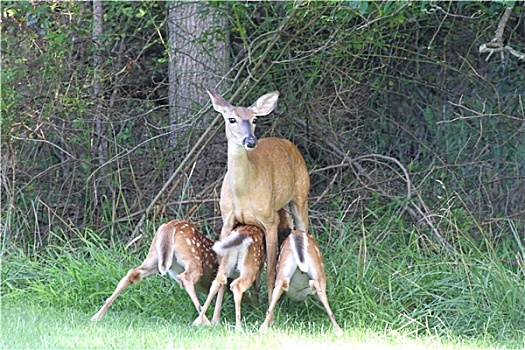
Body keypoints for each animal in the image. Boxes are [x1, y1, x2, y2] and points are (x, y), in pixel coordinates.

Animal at [207, 87, 310, 300]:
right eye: (231, 119)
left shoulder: (269, 220)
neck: (243, 193)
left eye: (254, 119)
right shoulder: (227, 218)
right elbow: (223, 270)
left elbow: (270, 273)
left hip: (301, 194)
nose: (250, 141)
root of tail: (289, 144)